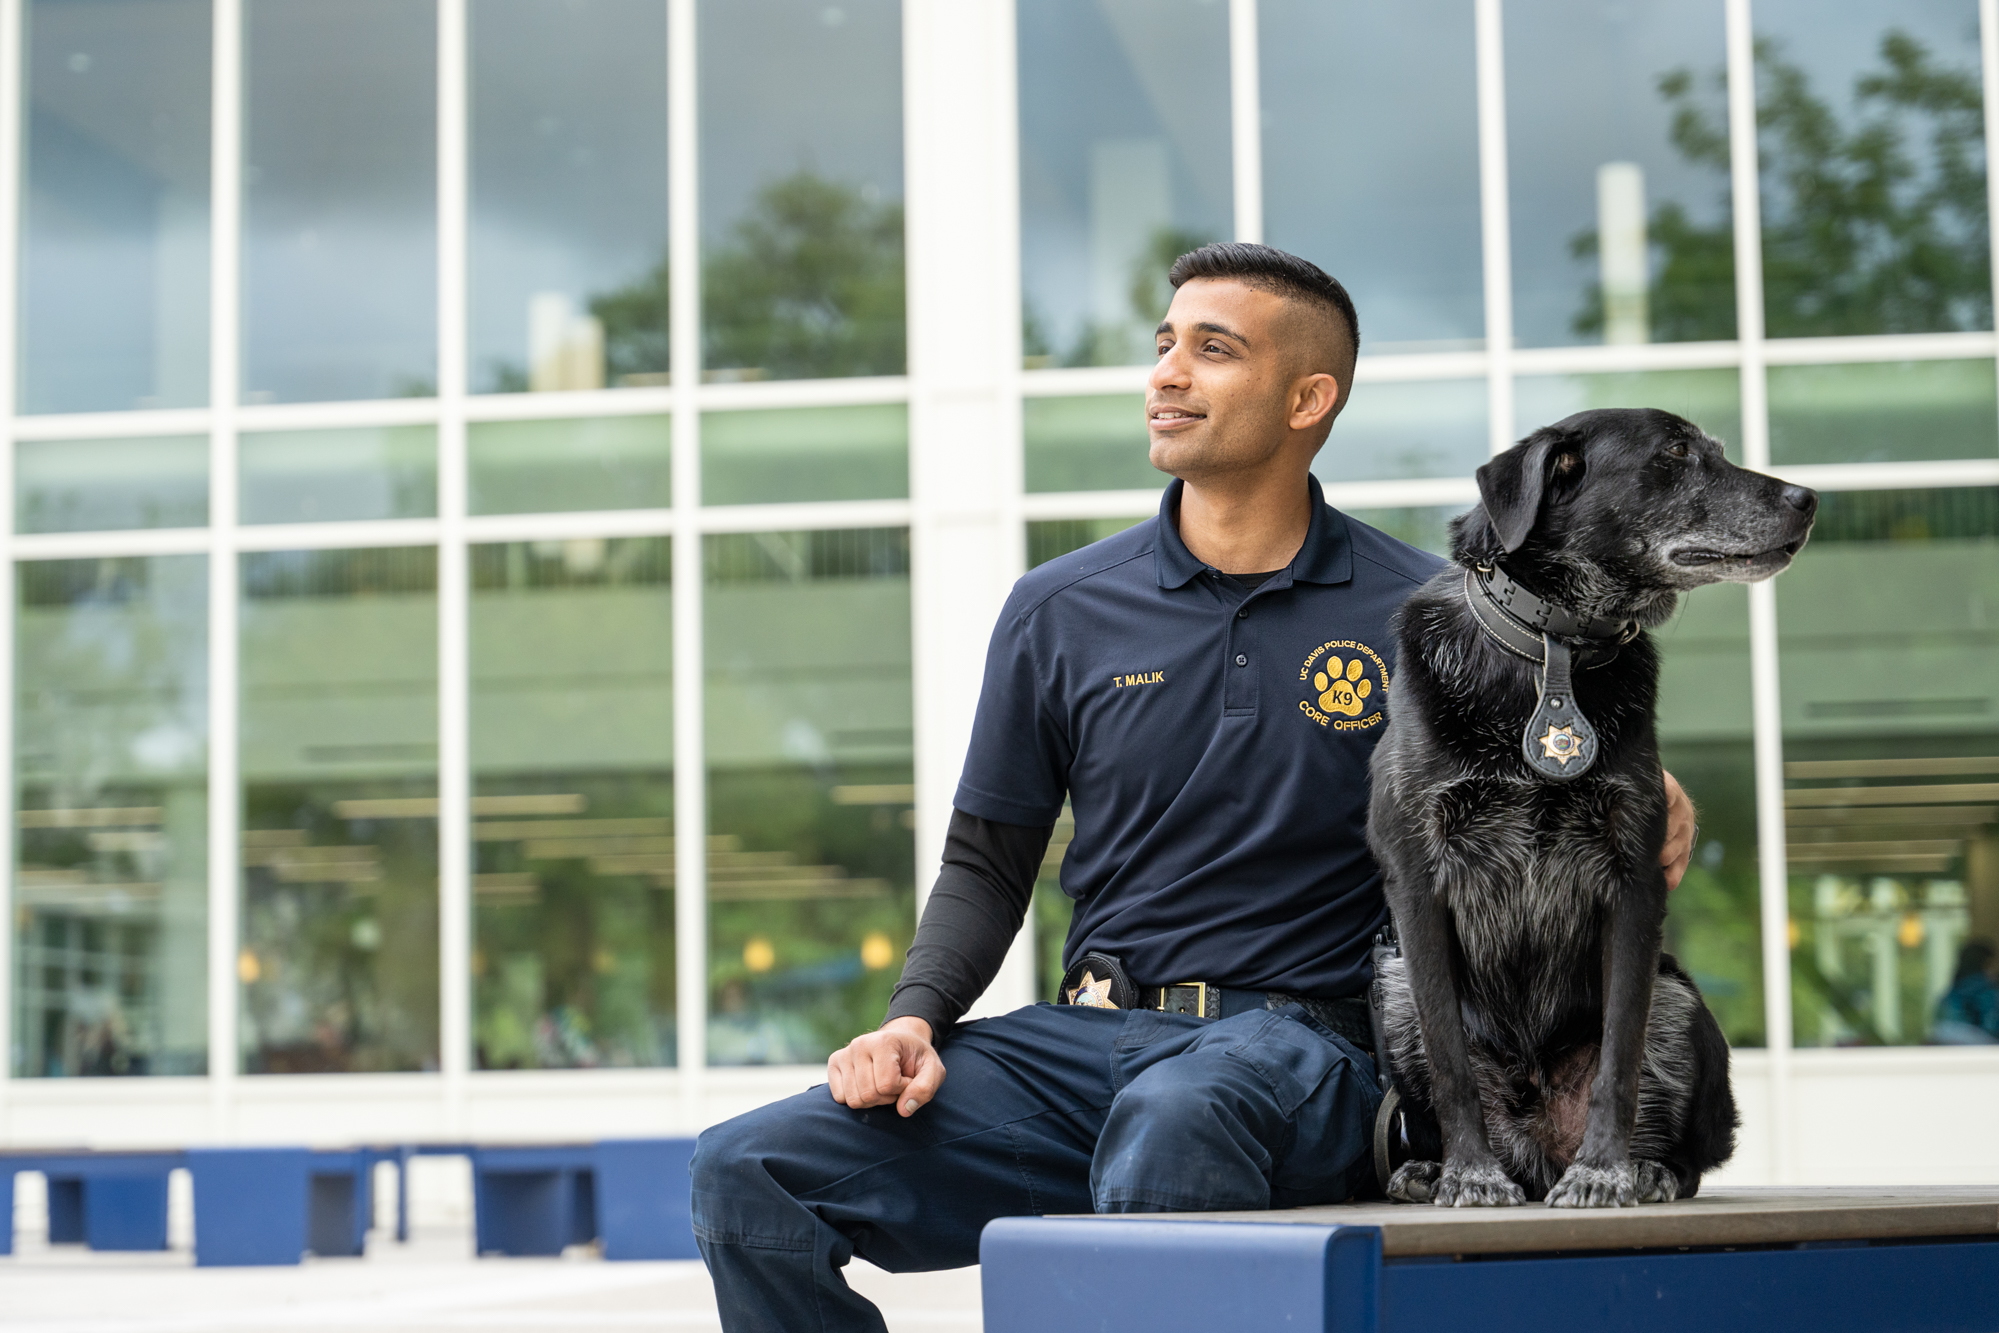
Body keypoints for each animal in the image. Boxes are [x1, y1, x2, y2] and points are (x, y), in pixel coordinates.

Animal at [1375, 409, 1815, 1207]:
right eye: (1674, 454)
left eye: (1714, 450)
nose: (1810, 497)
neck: (1552, 650)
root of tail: (1535, 1143)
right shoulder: (1418, 887)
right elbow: (1450, 1065)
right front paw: (1468, 1172)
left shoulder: (1633, 883)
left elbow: (1619, 1058)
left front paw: (1603, 1170)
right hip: (1390, 982)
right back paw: (1430, 1168)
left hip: (1679, 999)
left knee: (1691, 1149)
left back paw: (1646, 1169)